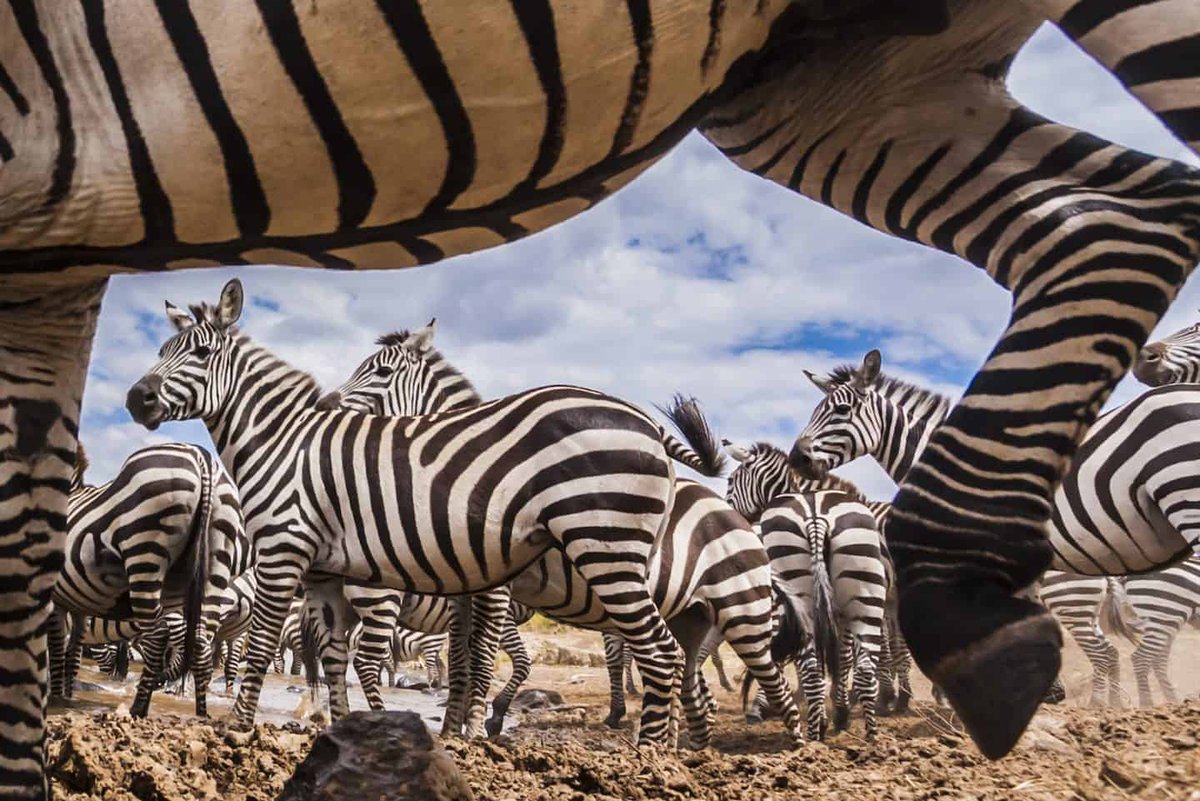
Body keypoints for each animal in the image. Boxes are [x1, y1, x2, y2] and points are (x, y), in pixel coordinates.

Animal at [324, 321, 801, 748]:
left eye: (382, 372)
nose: (329, 403)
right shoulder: (464, 589)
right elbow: (460, 658)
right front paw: (450, 731)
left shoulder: (497, 589)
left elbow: (483, 656)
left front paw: (475, 729)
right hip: (692, 615)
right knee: (697, 688)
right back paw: (683, 750)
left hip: (741, 611)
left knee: (771, 680)